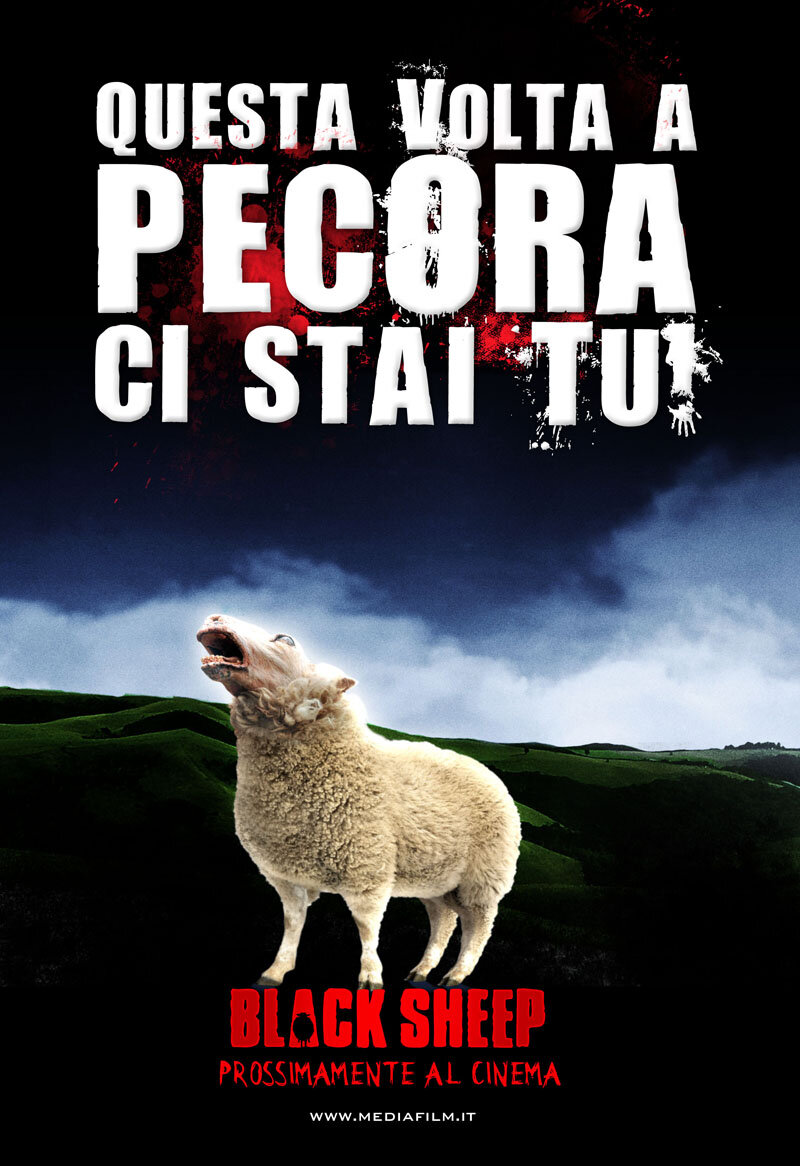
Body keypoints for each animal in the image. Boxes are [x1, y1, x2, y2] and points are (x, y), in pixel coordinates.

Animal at [197, 613, 521, 989]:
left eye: (286, 639)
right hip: (436, 876)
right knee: (443, 919)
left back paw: (455, 976)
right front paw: (276, 971)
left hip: (483, 877)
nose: (214, 616)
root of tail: (483, 769)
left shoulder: (365, 869)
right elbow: (293, 922)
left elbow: (367, 927)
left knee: (477, 926)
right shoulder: (286, 875)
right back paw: (421, 971)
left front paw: (370, 977)